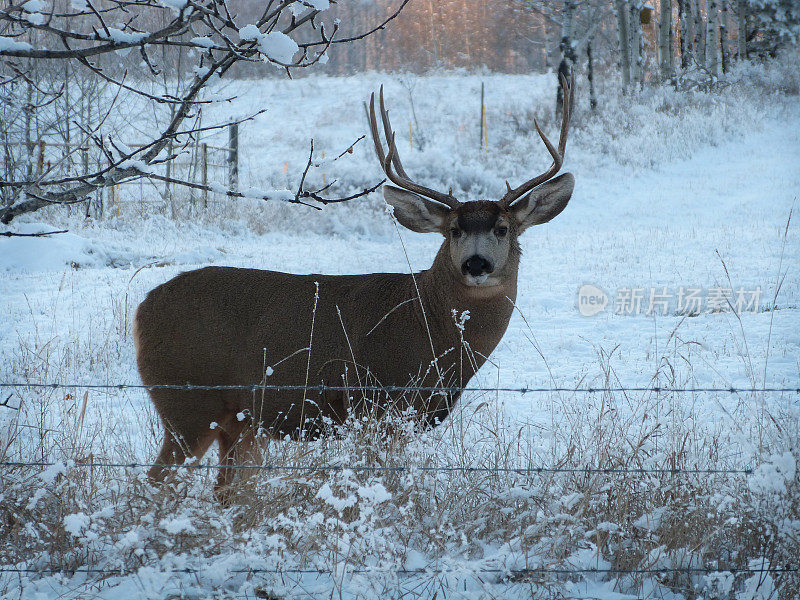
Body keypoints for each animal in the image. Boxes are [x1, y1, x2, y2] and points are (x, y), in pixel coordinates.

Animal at [136, 75, 576, 500]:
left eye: (502, 228)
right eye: (454, 230)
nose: (476, 263)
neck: (428, 323)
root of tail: (143, 310)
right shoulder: (374, 403)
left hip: (243, 422)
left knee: (226, 491)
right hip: (187, 402)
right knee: (157, 481)